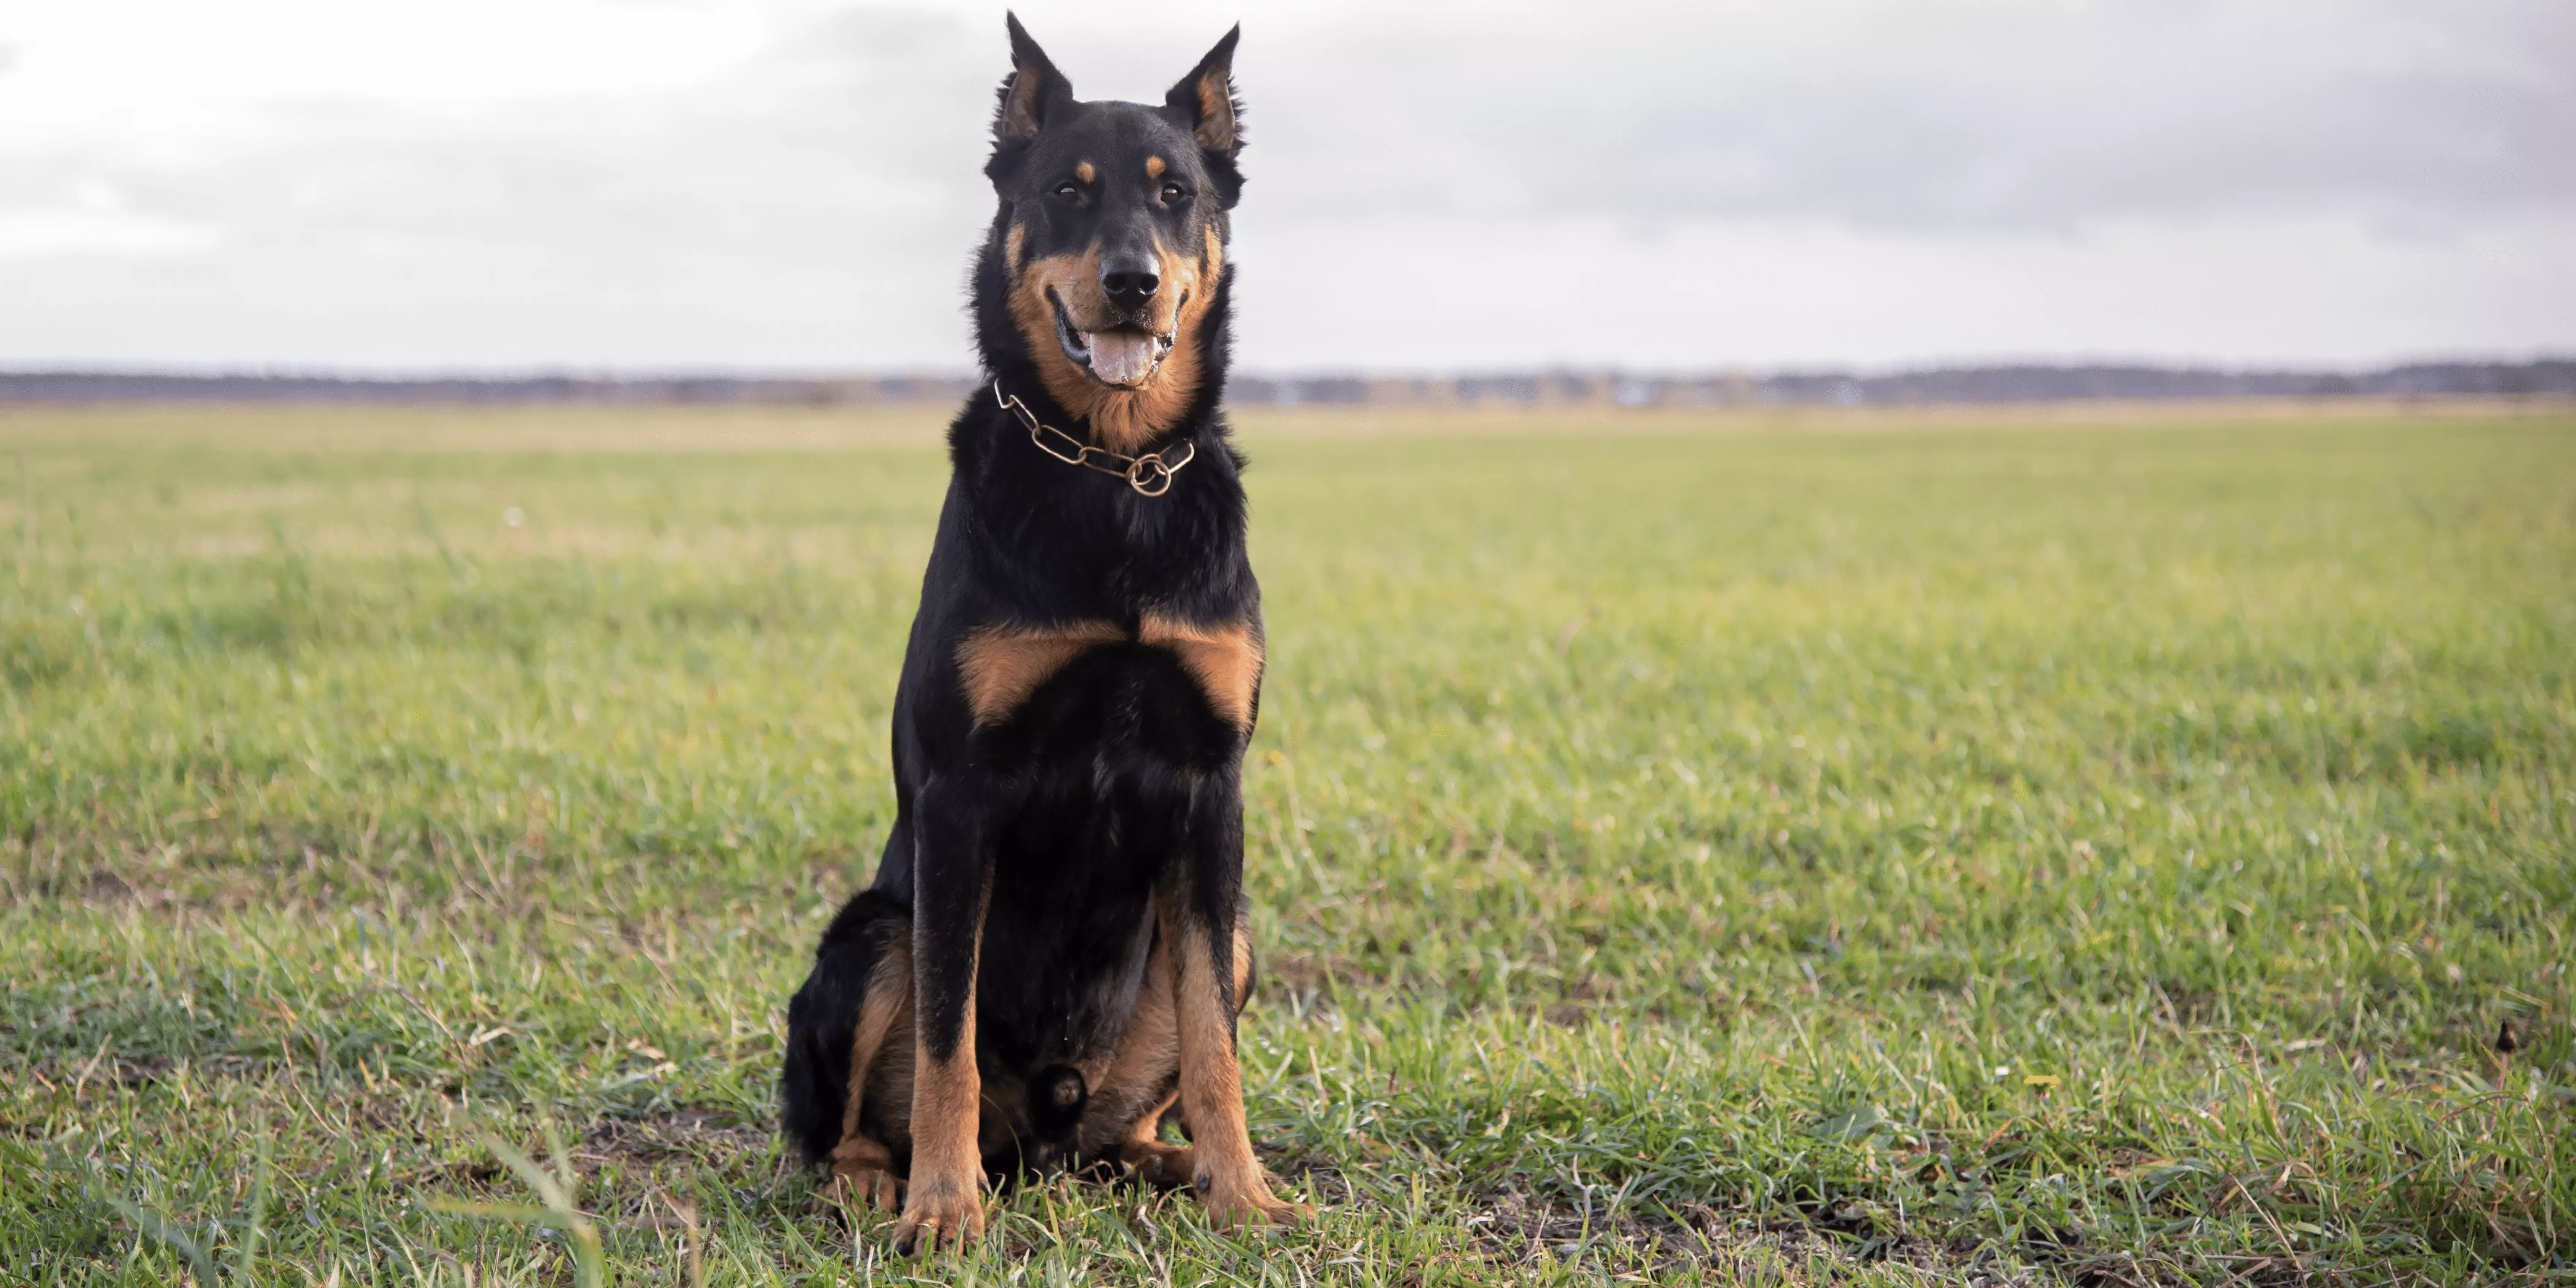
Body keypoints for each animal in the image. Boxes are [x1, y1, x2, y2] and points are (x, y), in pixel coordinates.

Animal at [773, 15, 1308, 1252]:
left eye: (1175, 195)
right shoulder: (962, 799)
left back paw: (1171, 1164)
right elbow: (946, 1048)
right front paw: (942, 1209)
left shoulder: (1211, 789)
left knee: (1137, 1106)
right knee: (849, 1118)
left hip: (1232, 940)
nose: (1132, 282)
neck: (1112, 473)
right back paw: (880, 1181)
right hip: (871, 936)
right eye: (1068, 192)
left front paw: (1245, 1190)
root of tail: (1049, 1135)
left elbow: (1216, 1046)